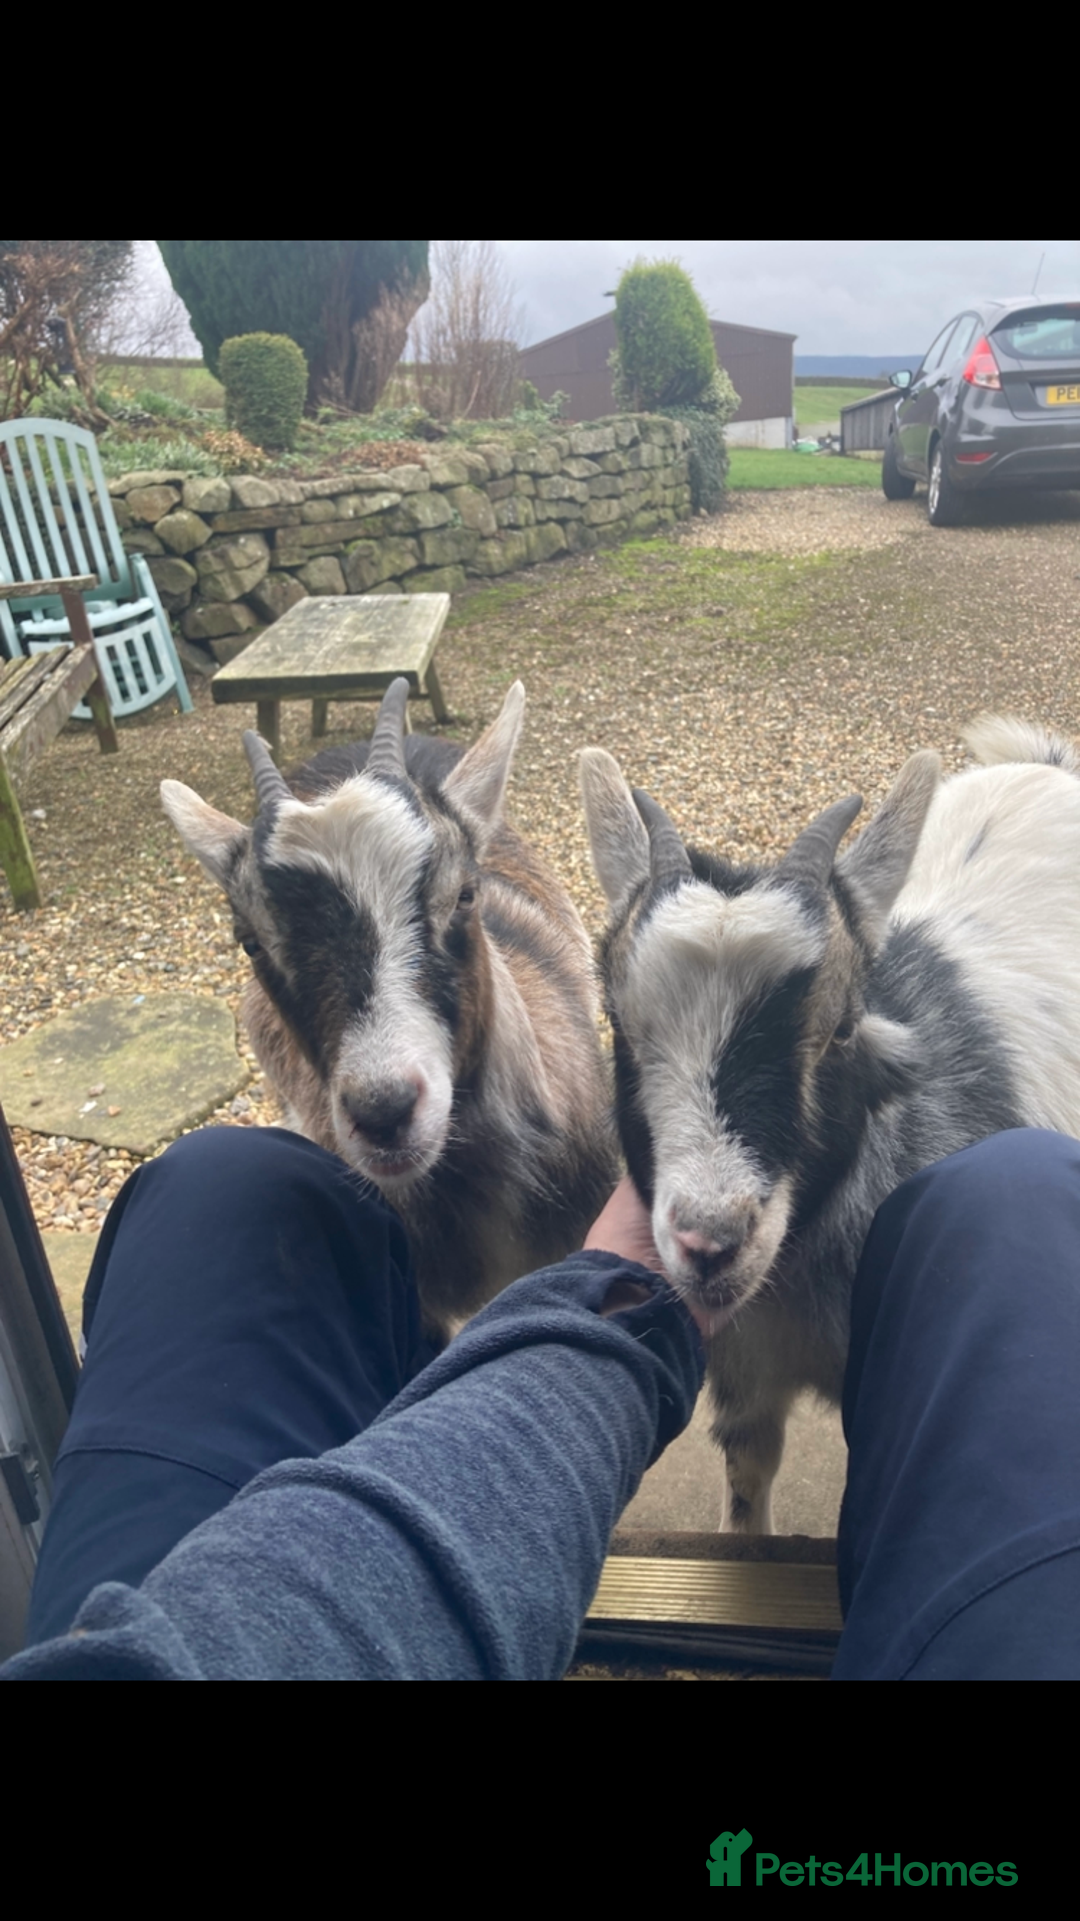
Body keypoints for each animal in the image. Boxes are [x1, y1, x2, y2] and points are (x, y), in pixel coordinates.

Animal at [579, 715, 1080, 1531]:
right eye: (620, 1026)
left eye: (842, 1028)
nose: (709, 1243)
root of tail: (1045, 764)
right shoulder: (747, 1375)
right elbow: (749, 1477)